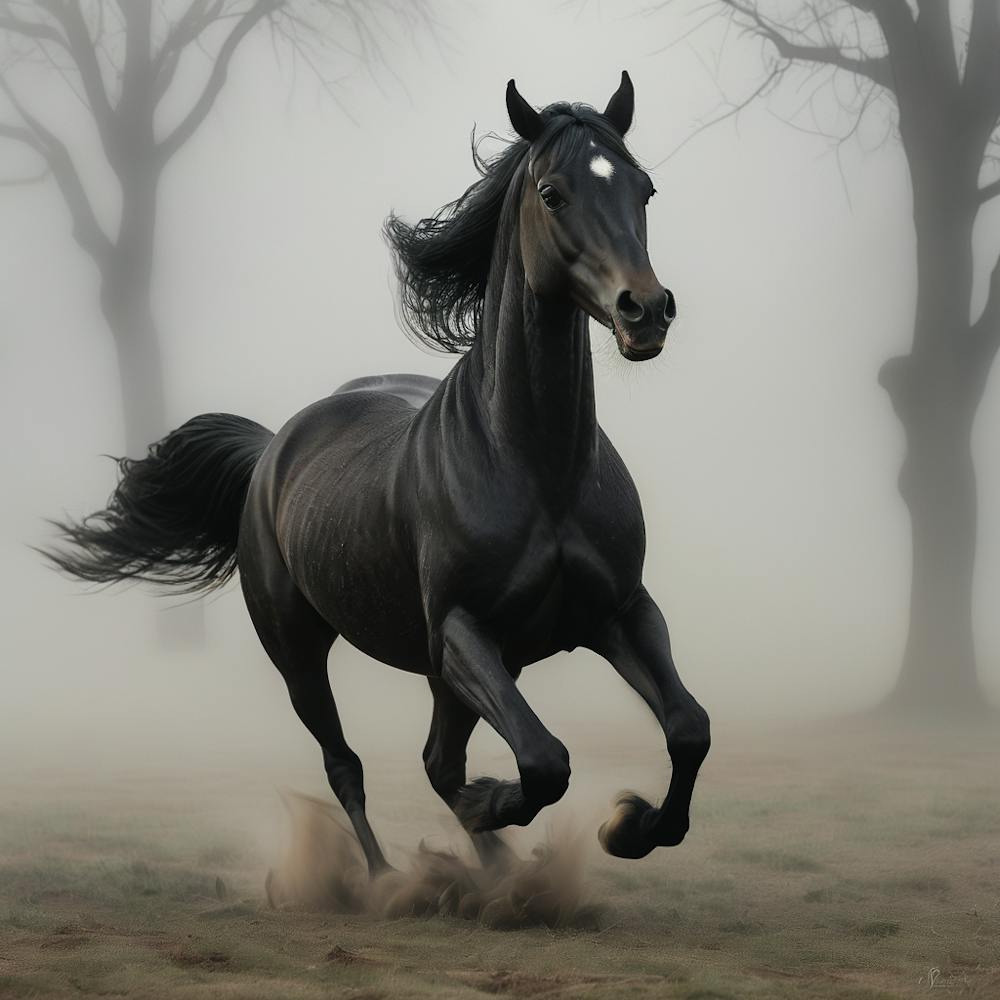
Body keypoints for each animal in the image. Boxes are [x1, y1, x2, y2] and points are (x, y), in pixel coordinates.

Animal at [45, 72, 710, 877]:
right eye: (552, 193)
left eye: (645, 189)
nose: (644, 311)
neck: (538, 471)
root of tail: (271, 450)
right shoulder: (461, 632)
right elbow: (542, 761)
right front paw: (511, 805)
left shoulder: (618, 611)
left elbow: (688, 727)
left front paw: (631, 828)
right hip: (301, 652)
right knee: (351, 765)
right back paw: (393, 877)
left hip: (453, 670)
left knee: (437, 760)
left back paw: (494, 869)